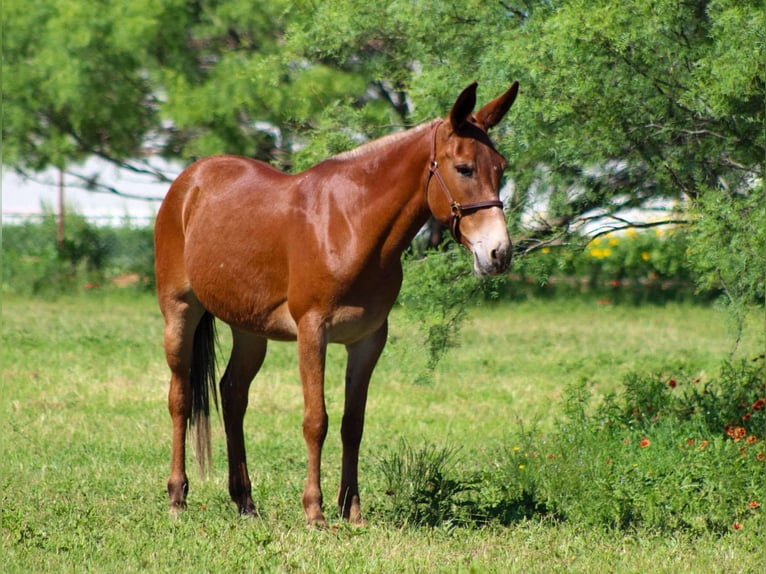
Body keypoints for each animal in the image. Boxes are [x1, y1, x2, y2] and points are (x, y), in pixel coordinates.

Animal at [154, 81, 519, 526]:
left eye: (500, 167)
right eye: (464, 168)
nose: (498, 253)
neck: (350, 224)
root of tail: (189, 181)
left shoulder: (367, 341)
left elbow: (352, 424)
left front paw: (352, 510)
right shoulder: (314, 332)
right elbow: (317, 421)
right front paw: (315, 512)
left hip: (249, 329)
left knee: (233, 394)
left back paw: (245, 502)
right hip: (180, 312)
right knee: (181, 397)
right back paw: (178, 497)